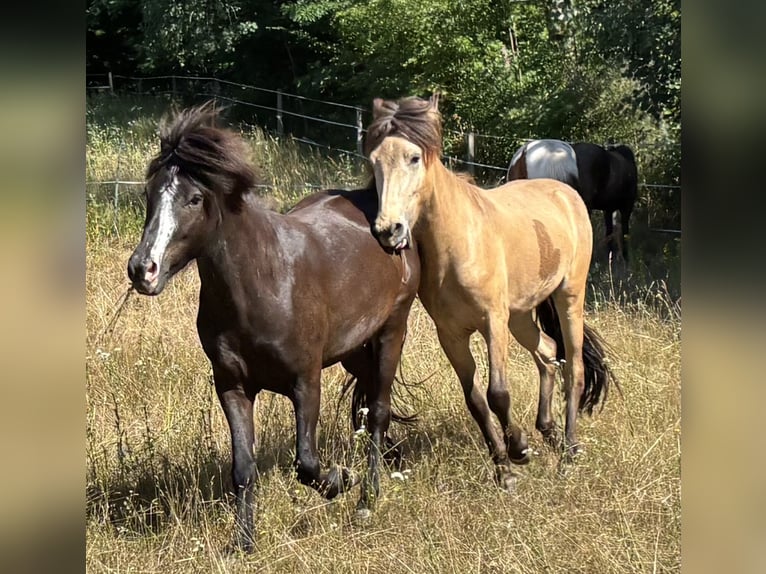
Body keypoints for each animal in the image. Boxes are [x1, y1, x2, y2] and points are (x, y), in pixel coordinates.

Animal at [127, 102, 420, 551]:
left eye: (194, 198)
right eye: (149, 194)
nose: (143, 269)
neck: (262, 284)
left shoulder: (306, 381)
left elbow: (307, 463)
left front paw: (342, 479)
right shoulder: (232, 387)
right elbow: (243, 468)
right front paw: (243, 543)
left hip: (392, 331)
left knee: (379, 411)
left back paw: (368, 497)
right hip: (354, 351)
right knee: (369, 403)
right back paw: (392, 459)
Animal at [366, 96, 617, 490]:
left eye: (414, 157)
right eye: (374, 160)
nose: (387, 230)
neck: (458, 241)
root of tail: (565, 194)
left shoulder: (492, 322)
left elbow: (498, 393)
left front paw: (519, 450)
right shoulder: (451, 335)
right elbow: (475, 400)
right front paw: (505, 469)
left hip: (568, 298)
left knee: (573, 368)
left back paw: (570, 451)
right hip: (521, 316)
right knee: (548, 353)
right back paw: (549, 433)